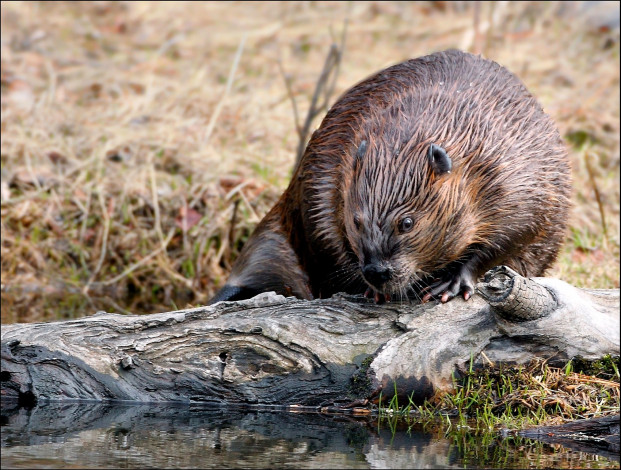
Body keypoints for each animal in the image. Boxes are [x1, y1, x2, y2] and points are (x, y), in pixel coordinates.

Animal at [209, 48, 572, 304]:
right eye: (357, 221)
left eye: (407, 223)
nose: (377, 272)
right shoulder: (329, 173)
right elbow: (328, 239)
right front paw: (371, 289)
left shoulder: (517, 177)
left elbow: (516, 233)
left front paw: (451, 283)